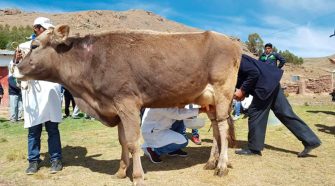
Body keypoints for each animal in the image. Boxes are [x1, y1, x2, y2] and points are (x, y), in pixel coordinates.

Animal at [14, 25, 242, 186]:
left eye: (34, 46)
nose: (16, 69)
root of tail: (229, 40)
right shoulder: (117, 109)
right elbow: (122, 141)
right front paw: (122, 172)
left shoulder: (127, 103)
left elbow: (133, 142)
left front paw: (138, 177)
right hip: (209, 100)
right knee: (216, 127)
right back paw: (211, 162)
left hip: (223, 91)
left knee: (222, 126)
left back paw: (222, 166)